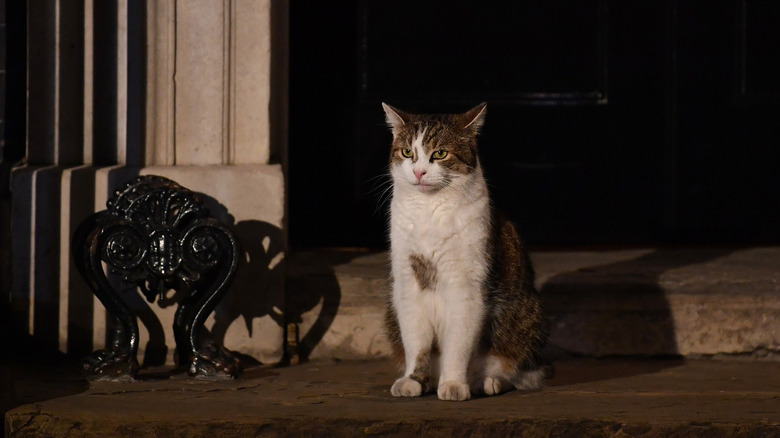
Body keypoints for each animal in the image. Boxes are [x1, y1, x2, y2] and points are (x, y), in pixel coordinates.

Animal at [380, 102, 544, 400]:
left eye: (440, 153)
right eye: (408, 152)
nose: (419, 172)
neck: (429, 211)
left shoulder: (466, 287)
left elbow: (457, 345)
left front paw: (454, 384)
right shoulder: (407, 284)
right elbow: (416, 342)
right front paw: (414, 379)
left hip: (523, 315)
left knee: (511, 367)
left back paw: (487, 381)